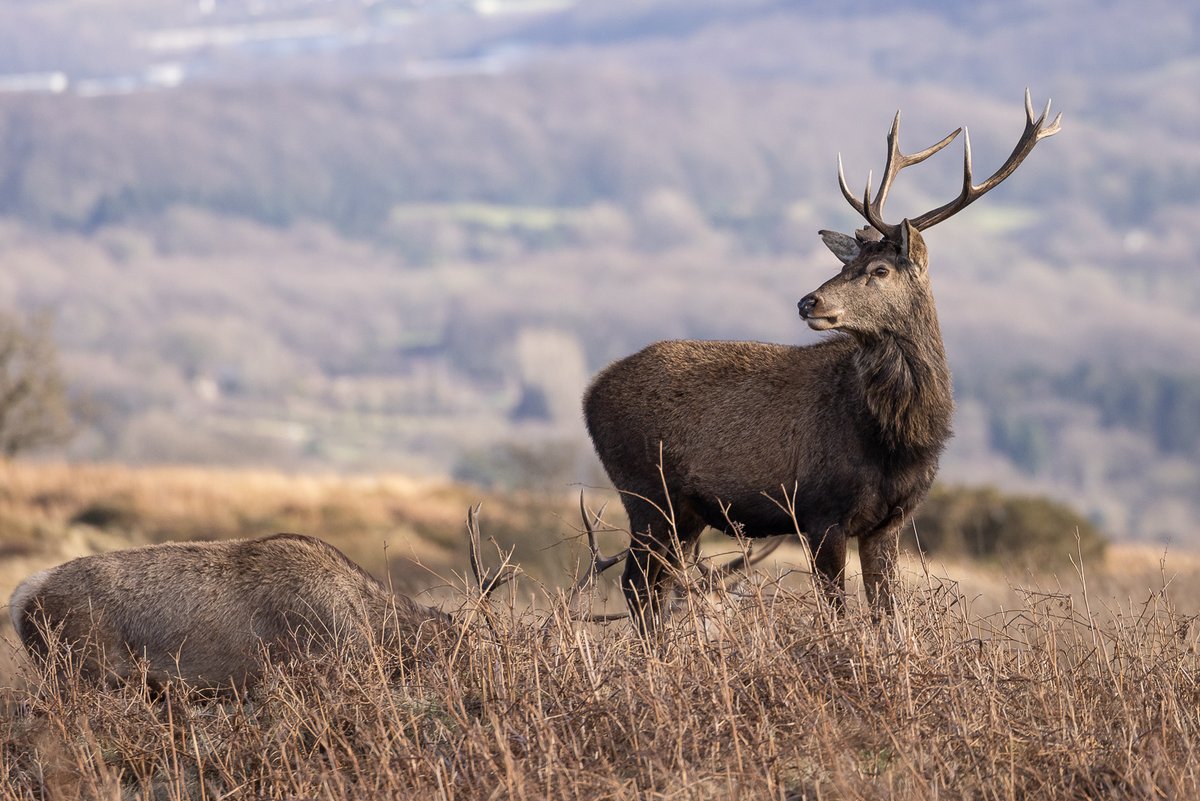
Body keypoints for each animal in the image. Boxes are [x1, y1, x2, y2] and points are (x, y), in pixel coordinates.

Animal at [583, 90, 1062, 634]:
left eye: (879, 269)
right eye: (846, 263)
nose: (807, 301)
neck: (896, 440)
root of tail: (589, 395)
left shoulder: (890, 521)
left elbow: (887, 614)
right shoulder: (819, 512)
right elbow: (836, 612)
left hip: (684, 514)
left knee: (654, 586)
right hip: (646, 493)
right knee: (636, 585)